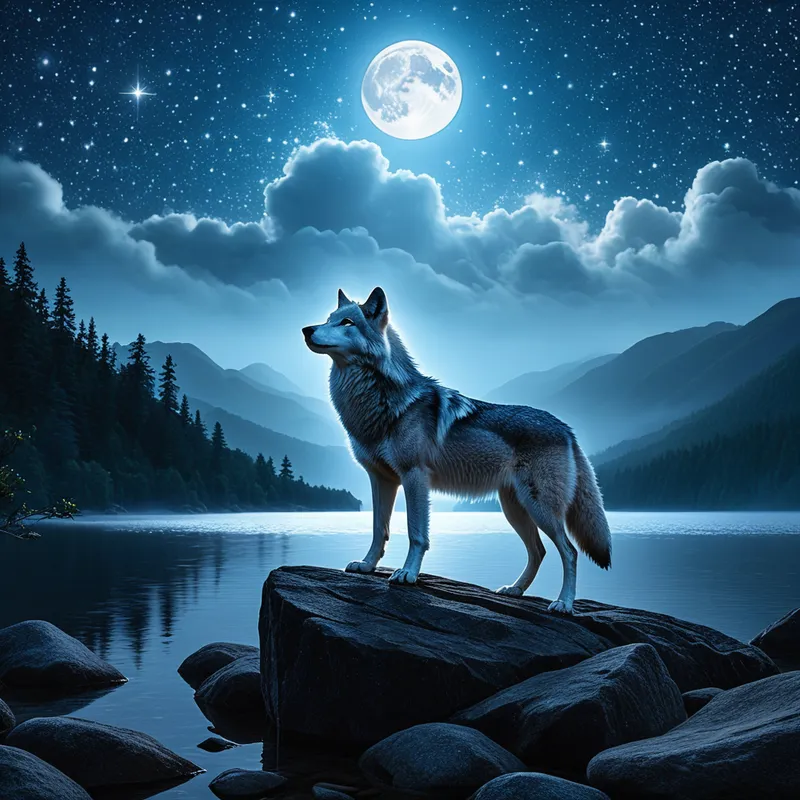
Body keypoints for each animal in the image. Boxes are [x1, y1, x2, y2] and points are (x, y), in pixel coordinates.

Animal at [302, 287, 611, 613]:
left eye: (347, 322)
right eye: (329, 319)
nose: (307, 330)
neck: (378, 404)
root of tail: (567, 428)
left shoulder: (414, 477)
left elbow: (416, 533)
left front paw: (407, 573)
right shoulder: (381, 480)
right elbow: (378, 529)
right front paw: (366, 565)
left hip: (540, 508)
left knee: (570, 551)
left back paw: (563, 603)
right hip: (514, 509)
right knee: (538, 551)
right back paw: (514, 590)